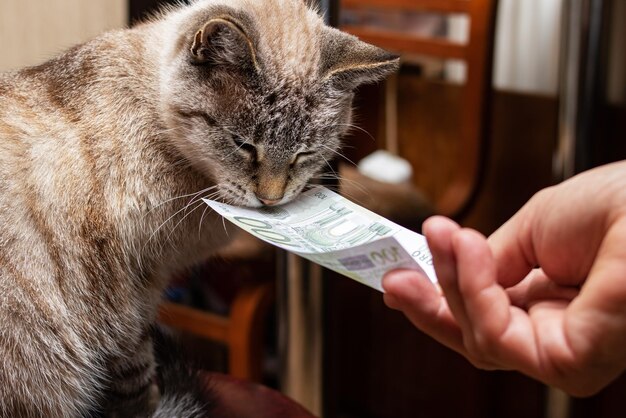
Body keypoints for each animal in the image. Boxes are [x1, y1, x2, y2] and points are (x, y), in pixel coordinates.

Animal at [0, 0, 398, 414]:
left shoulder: (146, 291)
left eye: (304, 153)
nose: (271, 199)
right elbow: (137, 382)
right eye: (243, 144)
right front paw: (150, 407)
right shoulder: (125, 299)